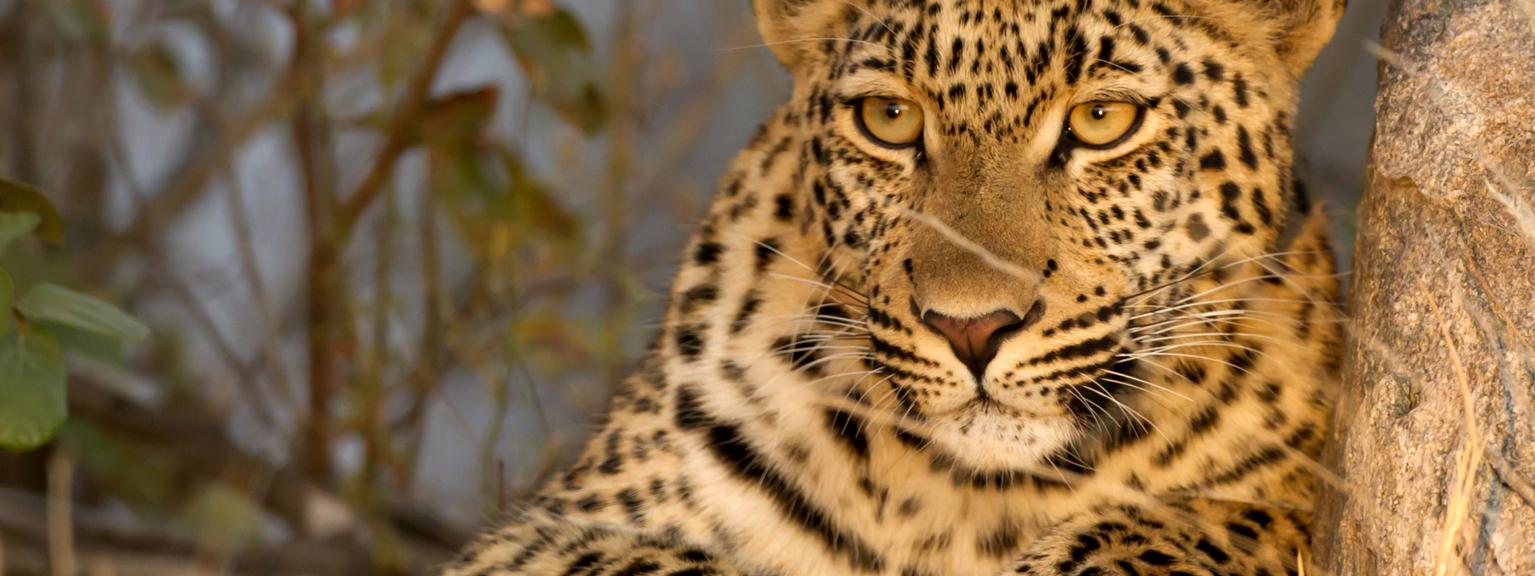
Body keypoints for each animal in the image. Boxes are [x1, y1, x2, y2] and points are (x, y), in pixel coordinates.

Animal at [444, 0, 1346, 573]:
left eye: (1102, 121)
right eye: (888, 119)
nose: (972, 329)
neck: (969, 498)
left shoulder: (1285, 492)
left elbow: (1192, 526)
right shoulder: (549, 530)